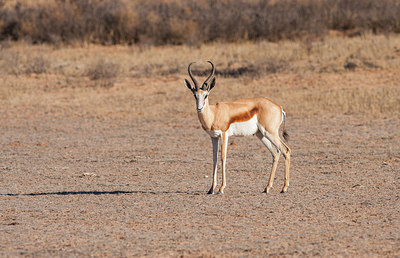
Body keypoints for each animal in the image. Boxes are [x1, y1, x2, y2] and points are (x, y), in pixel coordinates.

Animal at [184, 61, 290, 194]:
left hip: (270, 133)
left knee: (286, 150)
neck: (214, 113)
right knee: (276, 153)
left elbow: (223, 157)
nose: (199, 108)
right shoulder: (214, 137)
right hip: (261, 135)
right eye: (195, 95)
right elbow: (214, 158)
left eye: (206, 95)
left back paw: (284, 188)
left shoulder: (224, 134)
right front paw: (211, 189)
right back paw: (267, 187)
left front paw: (221, 188)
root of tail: (279, 107)